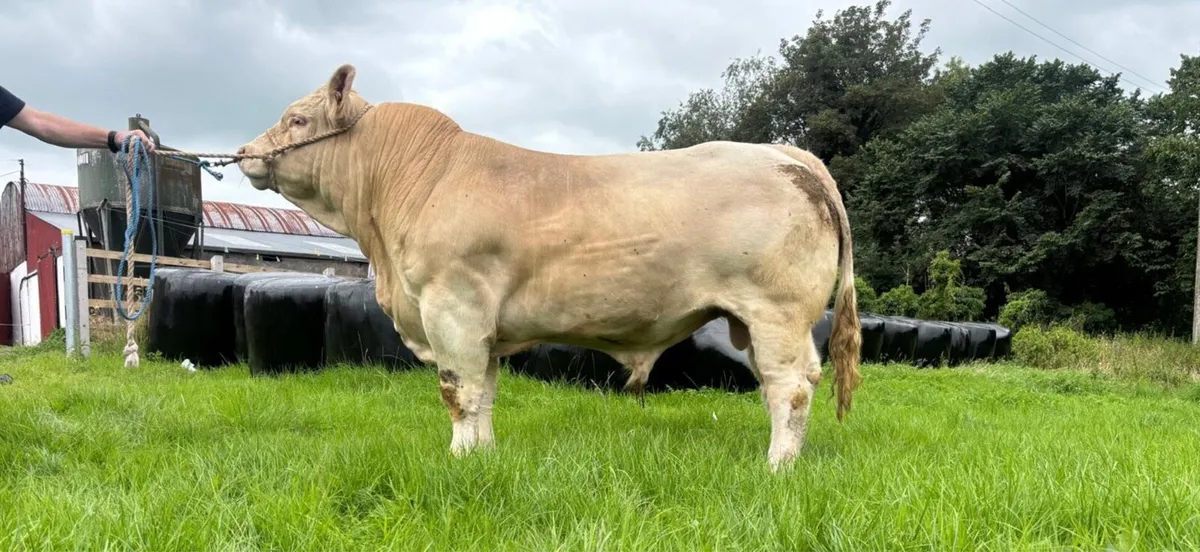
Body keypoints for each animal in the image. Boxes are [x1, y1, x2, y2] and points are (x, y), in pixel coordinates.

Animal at [236, 64, 862, 471]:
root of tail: (788, 155)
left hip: (776, 312)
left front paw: (458, 459)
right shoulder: (482, 326)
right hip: (752, 322)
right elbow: (485, 393)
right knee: (786, 384)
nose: (242, 153)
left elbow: (458, 390)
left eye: (297, 120)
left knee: (790, 387)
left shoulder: (451, 307)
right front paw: (483, 457)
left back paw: (777, 467)